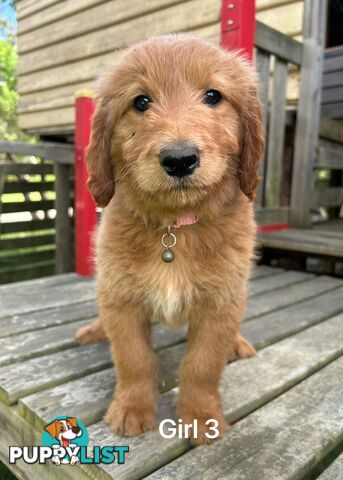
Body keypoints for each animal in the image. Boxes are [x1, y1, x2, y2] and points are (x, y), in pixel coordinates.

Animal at [77, 34, 266, 446]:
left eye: (213, 96)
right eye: (140, 102)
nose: (180, 159)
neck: (174, 230)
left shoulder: (220, 304)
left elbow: (201, 365)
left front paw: (201, 417)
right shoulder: (122, 300)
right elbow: (133, 359)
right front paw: (131, 408)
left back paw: (237, 343)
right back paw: (95, 330)